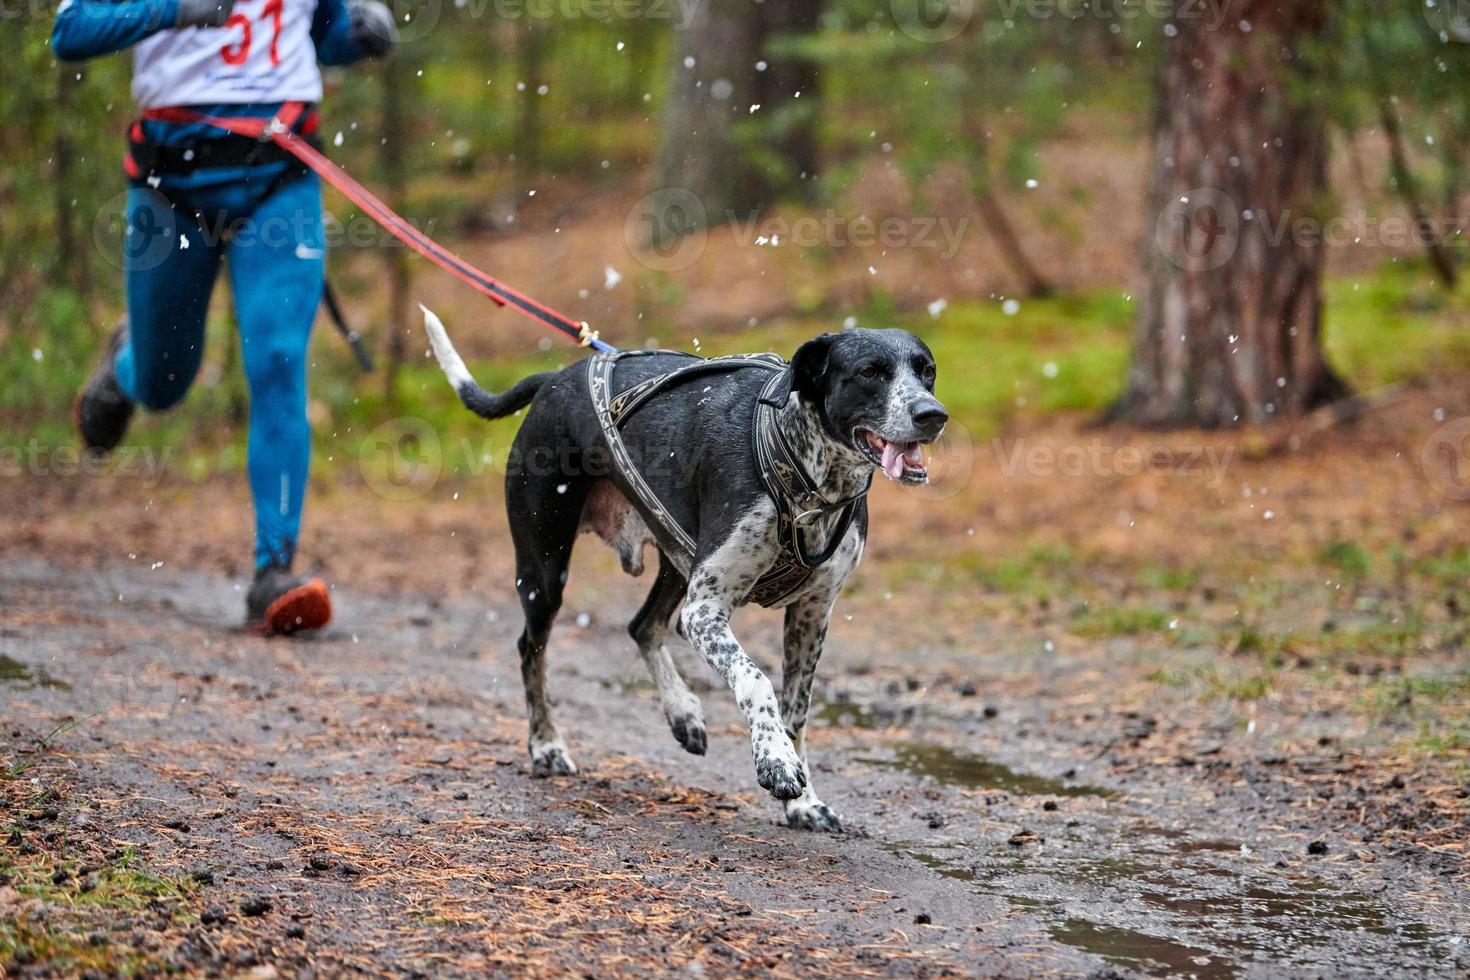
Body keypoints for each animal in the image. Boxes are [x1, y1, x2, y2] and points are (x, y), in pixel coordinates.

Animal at [420, 310, 946, 834]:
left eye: (927, 371)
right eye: (870, 372)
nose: (932, 414)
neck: (806, 476)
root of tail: (553, 379)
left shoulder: (811, 614)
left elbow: (796, 711)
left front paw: (804, 800)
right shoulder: (706, 611)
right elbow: (756, 680)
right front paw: (774, 759)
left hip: (677, 559)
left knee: (643, 625)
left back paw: (682, 713)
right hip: (545, 571)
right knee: (533, 650)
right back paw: (547, 745)